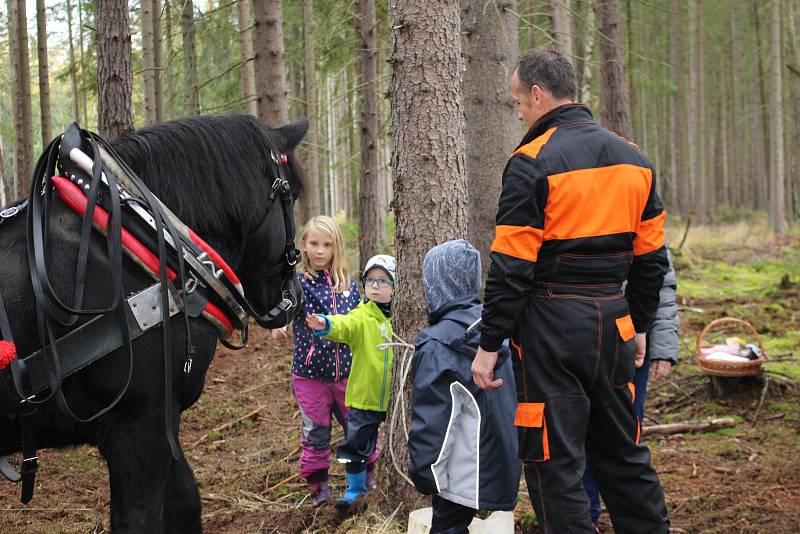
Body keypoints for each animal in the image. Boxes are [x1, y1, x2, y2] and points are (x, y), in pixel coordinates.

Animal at [0, 115, 308, 532]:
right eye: (292, 194)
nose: (294, 295)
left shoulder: (163, 420)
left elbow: (185, 502)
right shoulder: (137, 428)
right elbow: (140, 518)